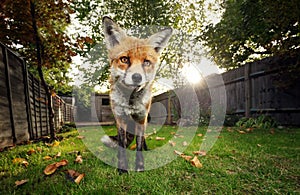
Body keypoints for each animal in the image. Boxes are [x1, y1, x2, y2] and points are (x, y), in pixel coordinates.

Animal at [101, 16, 171, 173]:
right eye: (124, 59)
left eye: (146, 62)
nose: (137, 77)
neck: (130, 102)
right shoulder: (120, 118)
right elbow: (121, 144)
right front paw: (122, 169)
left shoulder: (141, 118)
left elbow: (138, 145)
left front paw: (139, 167)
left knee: (143, 139)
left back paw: (146, 148)